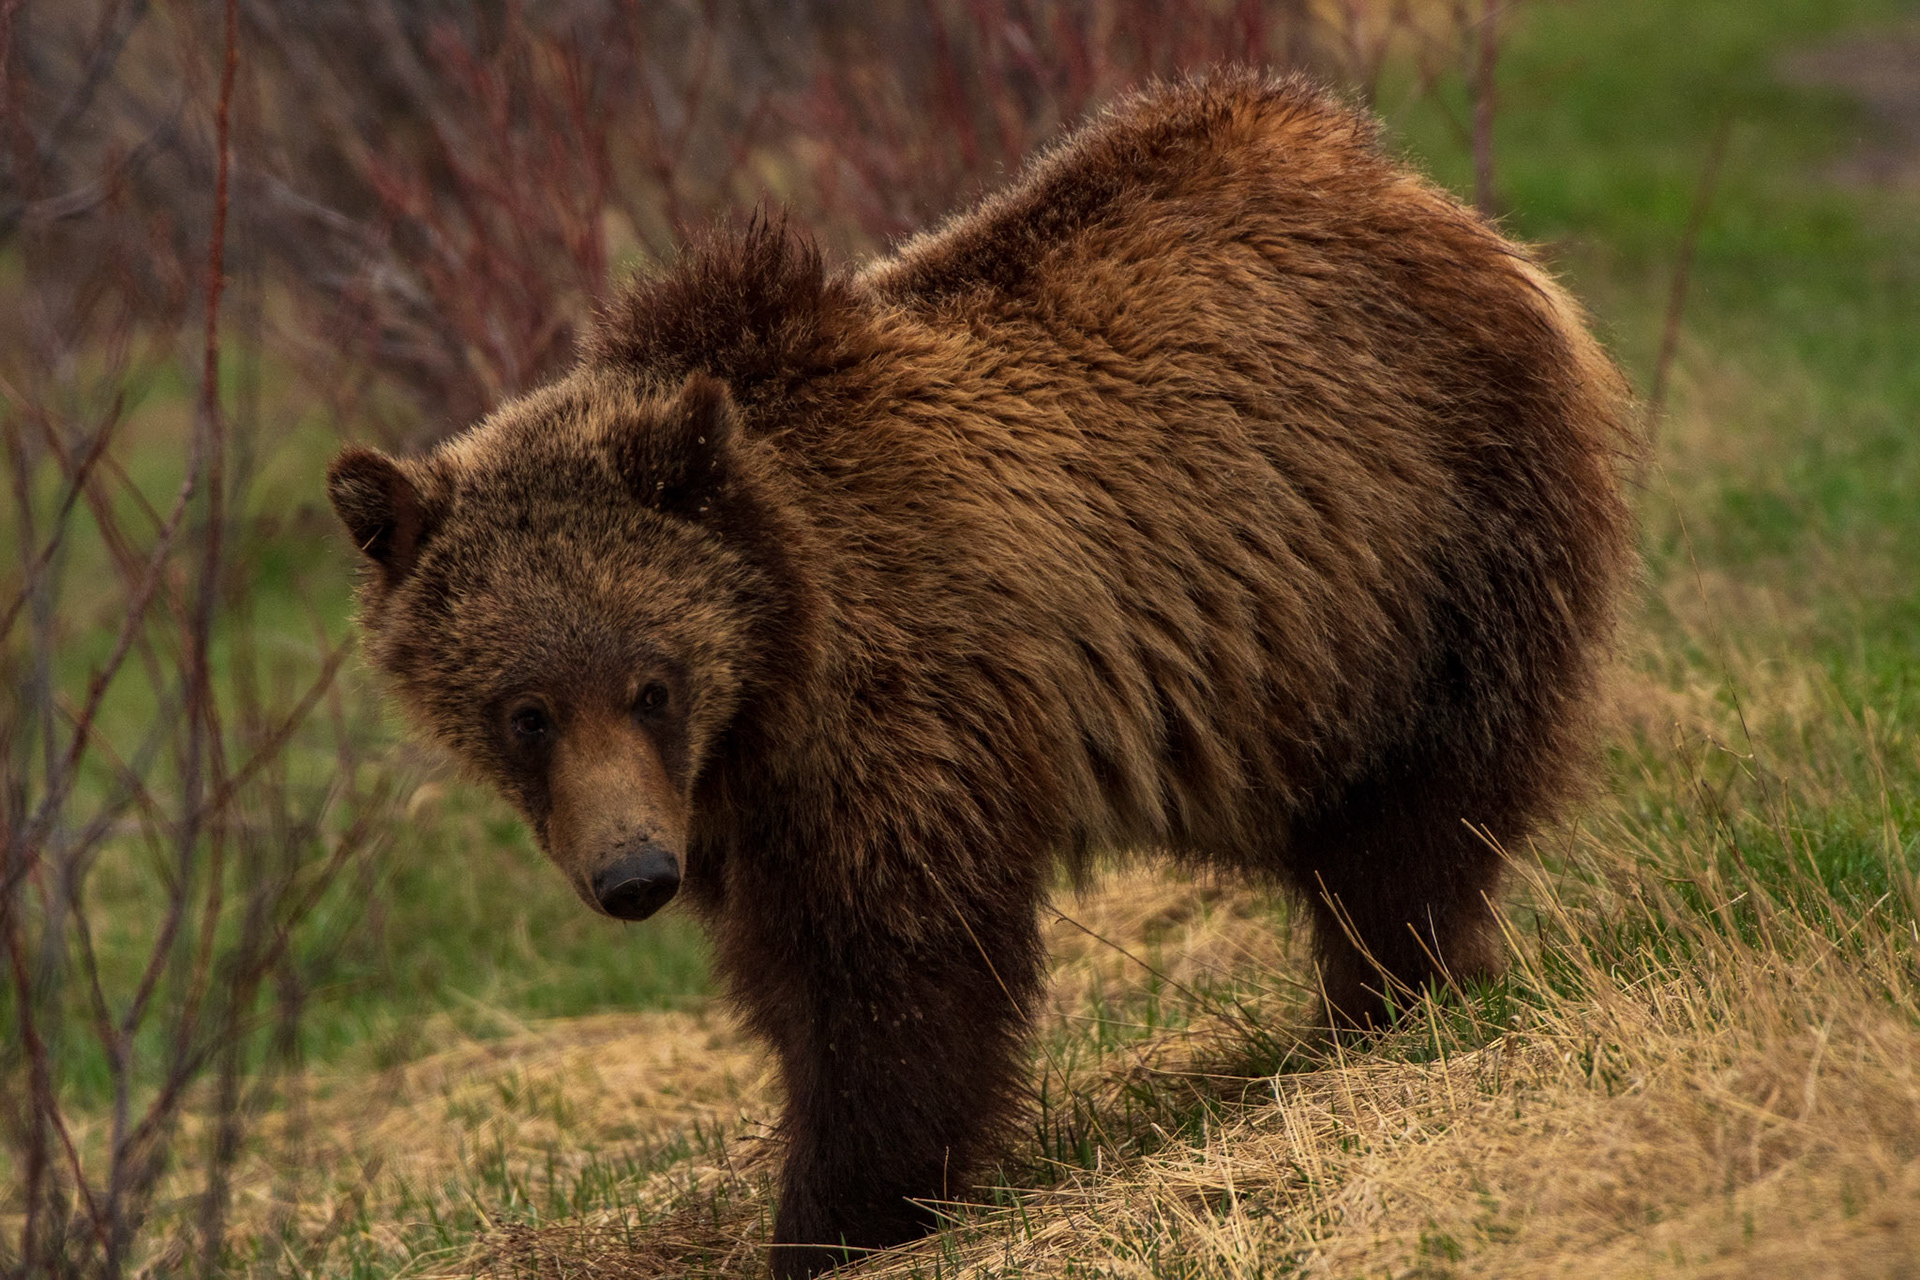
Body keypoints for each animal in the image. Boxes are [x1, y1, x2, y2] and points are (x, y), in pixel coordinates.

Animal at [327, 71, 1634, 1277]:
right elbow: (795, 974)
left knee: (1415, 811)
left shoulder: (899, 692)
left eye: (652, 680)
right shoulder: (748, 805)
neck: (776, 663)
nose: (636, 874)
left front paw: (835, 1217)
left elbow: (894, 974)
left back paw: (1387, 997)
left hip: (1408, 544)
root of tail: (1419, 196)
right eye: (526, 711)